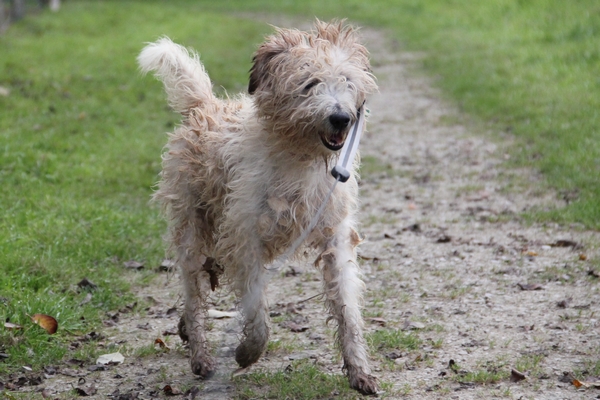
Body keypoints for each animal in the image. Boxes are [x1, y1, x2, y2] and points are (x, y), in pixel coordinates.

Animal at [138, 19, 378, 394]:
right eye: (310, 82)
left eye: (347, 80)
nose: (341, 117)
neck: (300, 157)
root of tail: (202, 107)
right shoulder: (245, 239)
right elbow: (257, 313)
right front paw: (247, 352)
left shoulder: (334, 237)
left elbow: (347, 309)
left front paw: (359, 370)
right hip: (191, 231)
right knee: (193, 292)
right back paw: (199, 353)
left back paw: (185, 330)